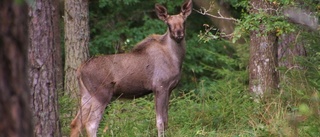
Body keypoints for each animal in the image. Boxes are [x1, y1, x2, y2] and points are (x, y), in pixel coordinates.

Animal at [70, 0, 192, 136]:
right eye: (168, 24)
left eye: (184, 21)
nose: (178, 33)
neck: (176, 59)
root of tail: (80, 70)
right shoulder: (160, 87)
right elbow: (160, 122)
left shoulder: (169, 89)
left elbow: (166, 121)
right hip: (101, 94)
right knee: (91, 123)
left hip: (86, 94)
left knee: (75, 123)